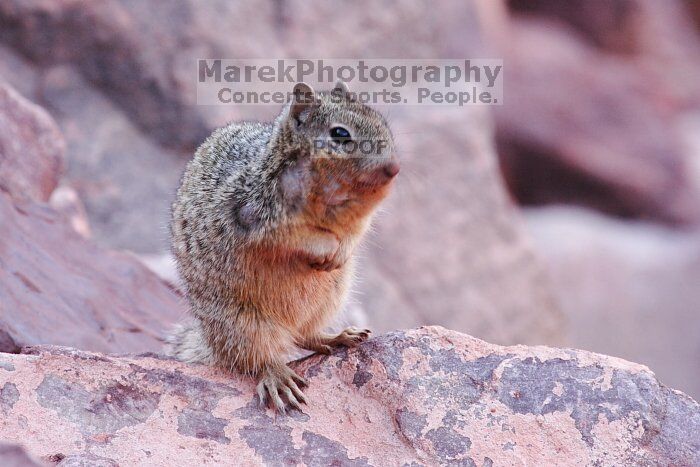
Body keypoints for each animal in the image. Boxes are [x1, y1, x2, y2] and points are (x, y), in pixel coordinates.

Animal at [165, 80, 400, 414]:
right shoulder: (255, 215)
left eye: (382, 124)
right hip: (244, 324)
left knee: (304, 336)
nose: (394, 168)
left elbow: (355, 235)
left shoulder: (358, 223)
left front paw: (340, 253)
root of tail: (212, 345)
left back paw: (339, 336)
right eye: (340, 134)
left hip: (330, 299)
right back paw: (280, 379)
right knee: (260, 358)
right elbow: (297, 238)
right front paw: (324, 249)